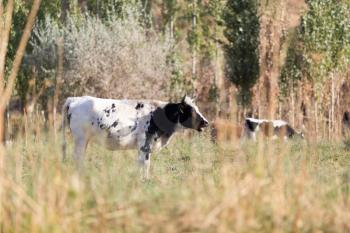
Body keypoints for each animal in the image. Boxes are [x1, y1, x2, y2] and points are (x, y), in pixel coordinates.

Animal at [61, 95, 208, 177]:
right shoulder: (145, 144)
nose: (206, 122)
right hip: (80, 139)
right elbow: (146, 164)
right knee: (77, 157)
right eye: (191, 111)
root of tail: (75, 99)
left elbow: (141, 163)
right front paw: (145, 180)